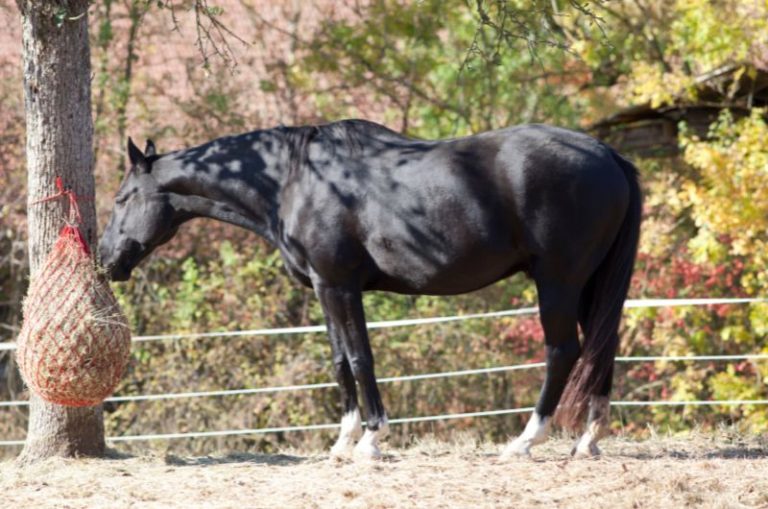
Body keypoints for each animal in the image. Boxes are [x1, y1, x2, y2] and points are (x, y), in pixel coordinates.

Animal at [99, 119, 641, 459]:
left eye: (123, 198)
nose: (105, 260)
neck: (295, 181)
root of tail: (607, 155)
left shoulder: (340, 285)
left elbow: (361, 358)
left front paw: (372, 440)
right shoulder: (324, 287)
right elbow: (340, 360)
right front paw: (343, 440)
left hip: (559, 281)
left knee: (562, 351)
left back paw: (525, 441)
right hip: (591, 285)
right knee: (603, 347)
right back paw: (588, 440)